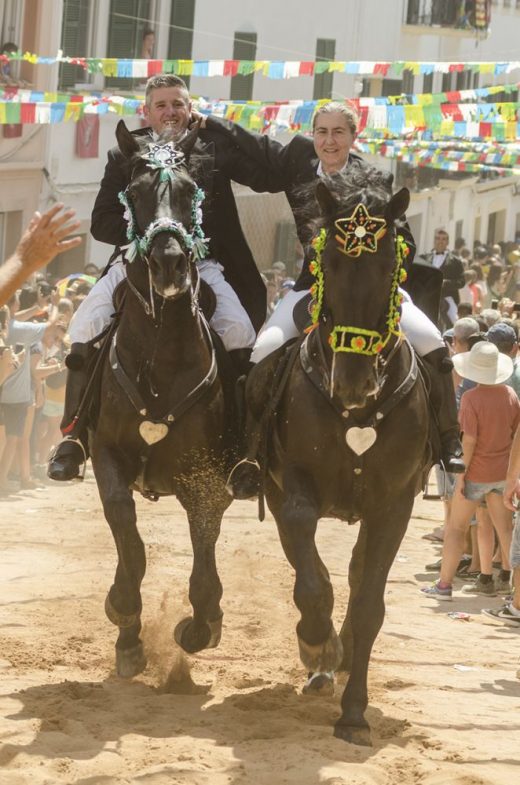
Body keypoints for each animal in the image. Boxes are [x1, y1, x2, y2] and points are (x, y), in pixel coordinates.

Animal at [90, 122, 234, 680]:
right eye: (133, 194)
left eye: (193, 192)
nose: (169, 263)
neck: (161, 354)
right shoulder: (108, 457)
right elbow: (130, 544)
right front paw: (125, 618)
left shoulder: (206, 478)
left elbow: (204, 562)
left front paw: (199, 626)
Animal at [248, 168, 430, 744]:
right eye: (325, 263)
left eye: (389, 266)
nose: (352, 382)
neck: (357, 414)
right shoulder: (291, 493)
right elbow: (310, 587)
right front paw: (316, 644)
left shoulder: (393, 507)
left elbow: (369, 604)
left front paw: (354, 713)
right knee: (321, 575)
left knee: (354, 575)